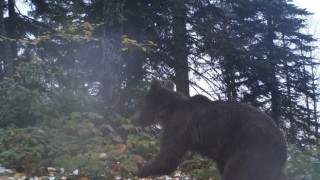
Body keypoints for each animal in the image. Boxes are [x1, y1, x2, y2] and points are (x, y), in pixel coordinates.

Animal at [130, 79, 288, 179]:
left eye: (140, 105)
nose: (133, 119)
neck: (167, 113)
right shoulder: (220, 154)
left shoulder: (178, 126)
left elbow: (168, 157)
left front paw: (138, 171)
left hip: (251, 148)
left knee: (238, 173)